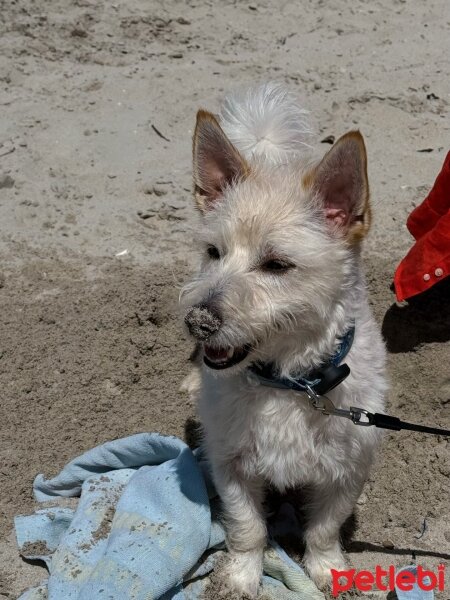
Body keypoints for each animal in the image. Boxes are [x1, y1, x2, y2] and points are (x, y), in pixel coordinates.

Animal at [179, 83, 386, 596]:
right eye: (213, 252)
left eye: (276, 265)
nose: (198, 320)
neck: (288, 385)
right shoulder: (230, 464)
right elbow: (248, 527)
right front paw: (240, 577)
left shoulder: (346, 472)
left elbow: (324, 528)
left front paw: (328, 569)